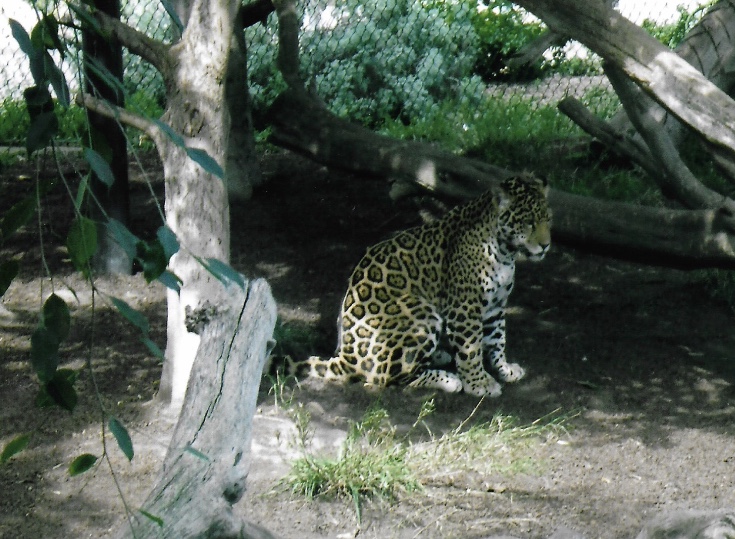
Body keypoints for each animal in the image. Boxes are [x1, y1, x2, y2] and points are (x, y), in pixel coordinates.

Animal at [279, 173, 551, 397]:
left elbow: (497, 338)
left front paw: (504, 368)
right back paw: (448, 379)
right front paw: (478, 383)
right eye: (527, 222)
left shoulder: (495, 304)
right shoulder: (464, 307)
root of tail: (345, 357)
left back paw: (439, 356)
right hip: (420, 313)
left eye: (547, 219)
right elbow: (471, 348)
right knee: (389, 378)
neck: (506, 252)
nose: (546, 245)